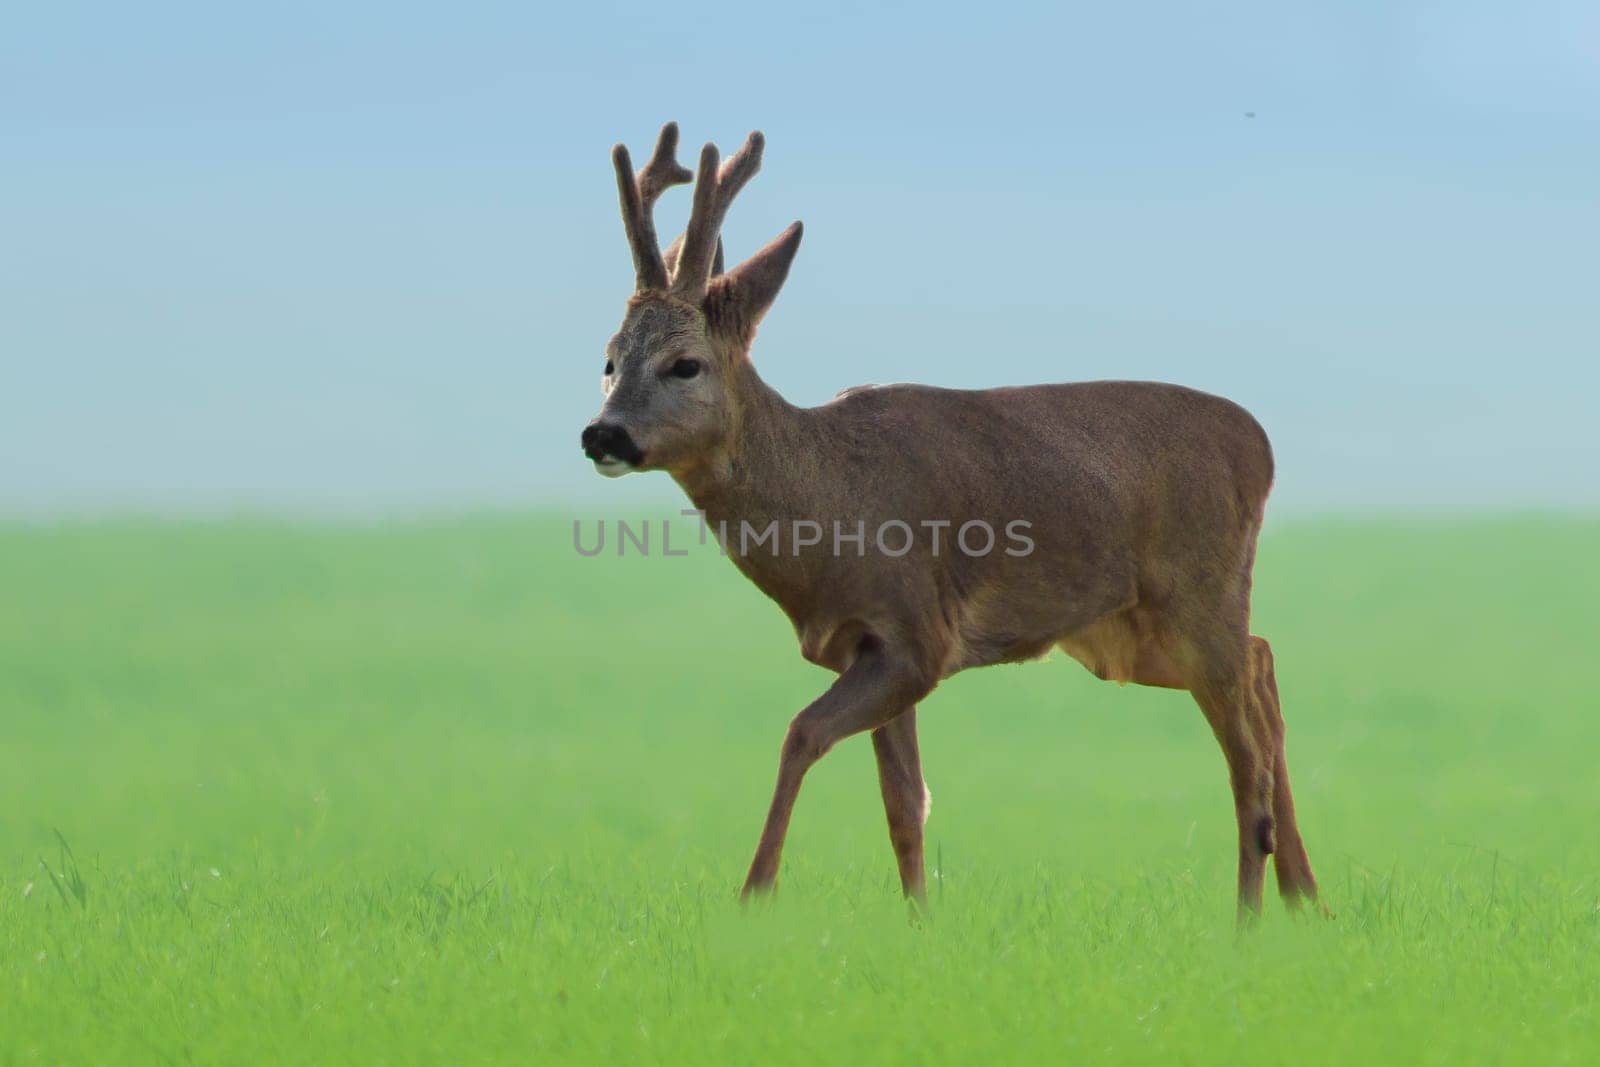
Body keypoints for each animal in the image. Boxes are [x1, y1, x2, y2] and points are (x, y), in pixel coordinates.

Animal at [582, 120, 1318, 915]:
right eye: (609, 359)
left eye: (684, 363)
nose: (602, 434)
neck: (828, 506)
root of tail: (1261, 445)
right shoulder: (863, 644)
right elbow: (904, 802)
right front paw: (917, 920)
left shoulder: (916, 634)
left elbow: (802, 734)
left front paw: (755, 894)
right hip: (1128, 634)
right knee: (1263, 664)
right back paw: (1306, 897)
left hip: (1198, 595)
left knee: (1245, 759)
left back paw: (1250, 915)